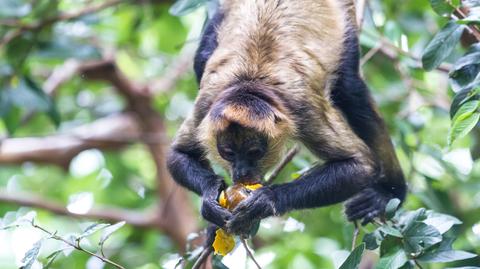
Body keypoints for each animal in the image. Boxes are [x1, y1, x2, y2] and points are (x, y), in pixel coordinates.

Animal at [167, 0, 406, 234]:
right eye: (228, 153)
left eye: (255, 153)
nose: (242, 171)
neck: (249, 81)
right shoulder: (207, 106)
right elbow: (177, 155)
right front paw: (210, 198)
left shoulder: (303, 108)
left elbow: (360, 165)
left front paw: (267, 200)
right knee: (201, 59)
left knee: (350, 89)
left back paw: (389, 193)